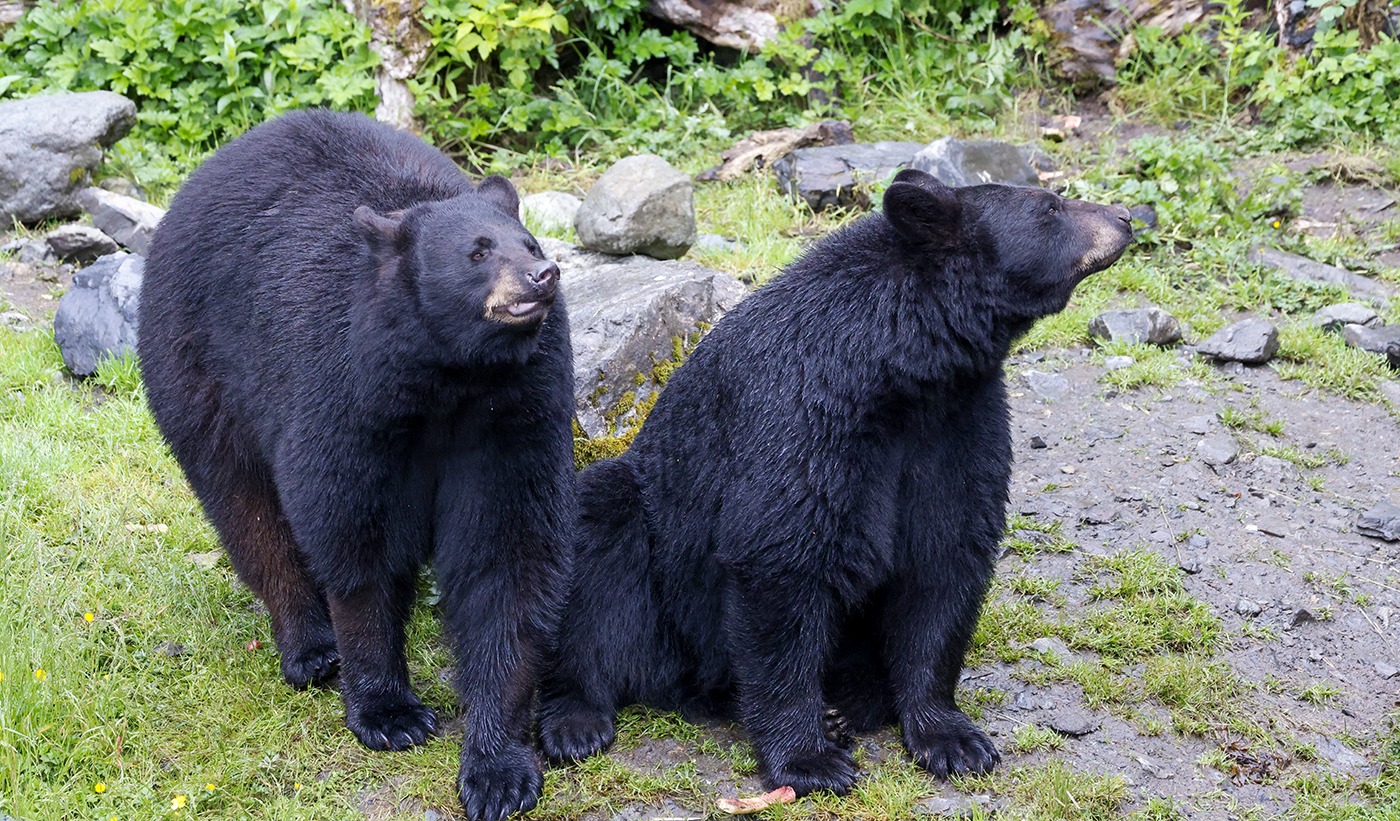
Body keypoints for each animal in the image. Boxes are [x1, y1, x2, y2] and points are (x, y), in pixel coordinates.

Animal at [138, 110, 575, 821]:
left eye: (530, 240)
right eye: (478, 251)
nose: (545, 274)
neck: (446, 378)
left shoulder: (514, 415)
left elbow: (507, 552)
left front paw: (497, 768)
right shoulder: (344, 396)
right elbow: (352, 537)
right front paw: (388, 711)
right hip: (199, 366)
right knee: (247, 509)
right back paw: (311, 648)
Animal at [538, 169, 1133, 795]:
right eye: (1050, 208)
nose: (1124, 218)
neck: (902, 369)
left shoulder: (960, 422)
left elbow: (945, 557)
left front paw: (952, 738)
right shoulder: (803, 415)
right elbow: (780, 557)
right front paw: (809, 759)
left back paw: (848, 704)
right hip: (647, 540)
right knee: (597, 556)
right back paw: (577, 717)